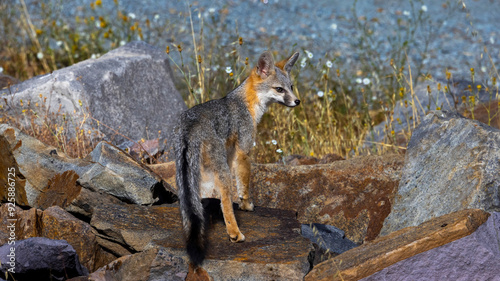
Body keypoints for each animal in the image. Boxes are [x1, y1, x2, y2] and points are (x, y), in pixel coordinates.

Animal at [174, 49, 298, 266]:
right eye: (279, 89)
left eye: (291, 87)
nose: (297, 101)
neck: (245, 103)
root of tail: (191, 126)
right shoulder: (244, 152)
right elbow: (244, 185)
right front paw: (246, 205)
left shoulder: (231, 153)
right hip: (220, 171)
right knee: (224, 202)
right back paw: (234, 233)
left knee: (192, 205)